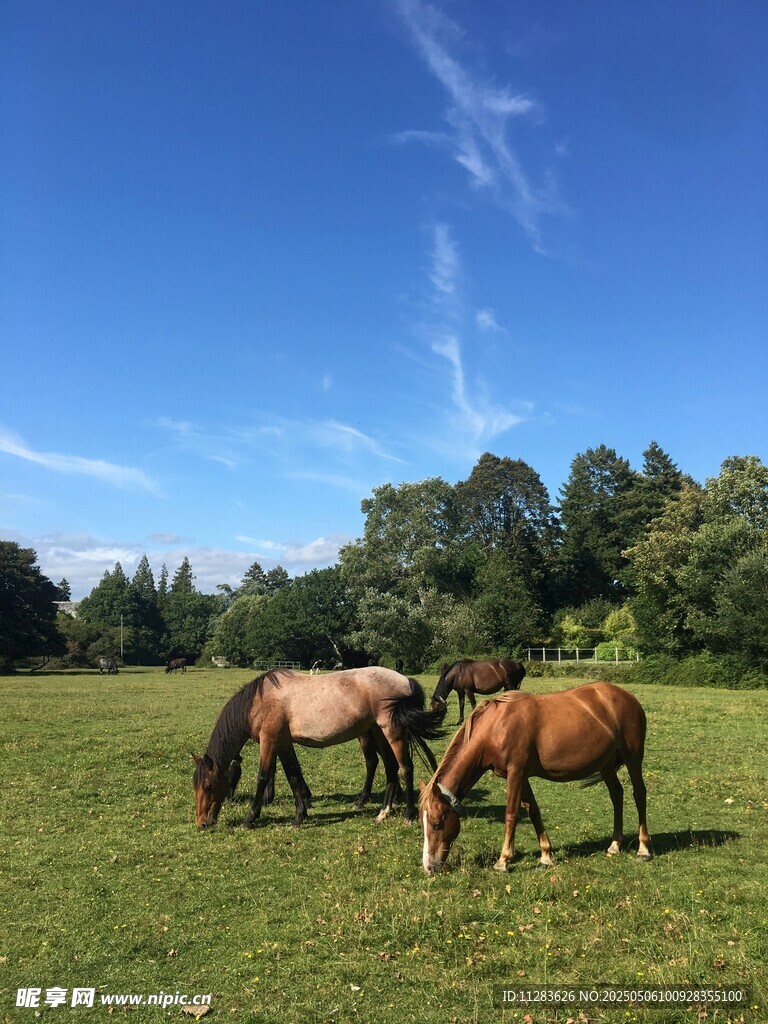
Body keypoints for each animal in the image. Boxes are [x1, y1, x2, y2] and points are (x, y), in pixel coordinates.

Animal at [192, 666, 445, 829]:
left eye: (208, 785)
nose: (202, 823)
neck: (258, 701)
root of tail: (405, 680)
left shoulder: (269, 741)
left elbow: (263, 777)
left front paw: (250, 818)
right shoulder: (283, 743)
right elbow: (293, 775)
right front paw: (299, 815)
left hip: (392, 731)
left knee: (406, 768)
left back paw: (408, 815)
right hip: (378, 732)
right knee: (390, 767)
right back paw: (383, 812)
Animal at [420, 682, 652, 874]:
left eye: (437, 823)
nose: (429, 867)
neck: (495, 727)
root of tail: (628, 697)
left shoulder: (516, 773)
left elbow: (511, 814)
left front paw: (503, 861)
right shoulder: (520, 776)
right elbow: (533, 811)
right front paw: (546, 856)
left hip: (633, 757)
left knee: (639, 794)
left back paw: (643, 849)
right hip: (606, 765)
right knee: (617, 795)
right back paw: (615, 844)